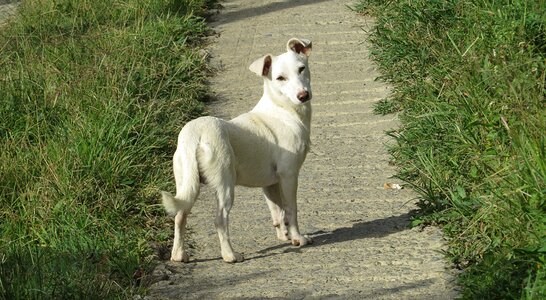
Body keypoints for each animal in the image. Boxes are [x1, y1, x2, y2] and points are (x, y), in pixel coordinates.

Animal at [159, 37, 312, 262]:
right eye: (280, 78)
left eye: (302, 69)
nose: (303, 95)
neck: (283, 109)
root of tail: (194, 132)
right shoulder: (289, 175)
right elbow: (291, 209)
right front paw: (297, 238)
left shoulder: (270, 183)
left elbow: (277, 211)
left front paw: (283, 235)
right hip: (225, 184)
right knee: (220, 220)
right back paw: (230, 255)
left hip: (187, 182)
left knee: (180, 216)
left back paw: (179, 254)